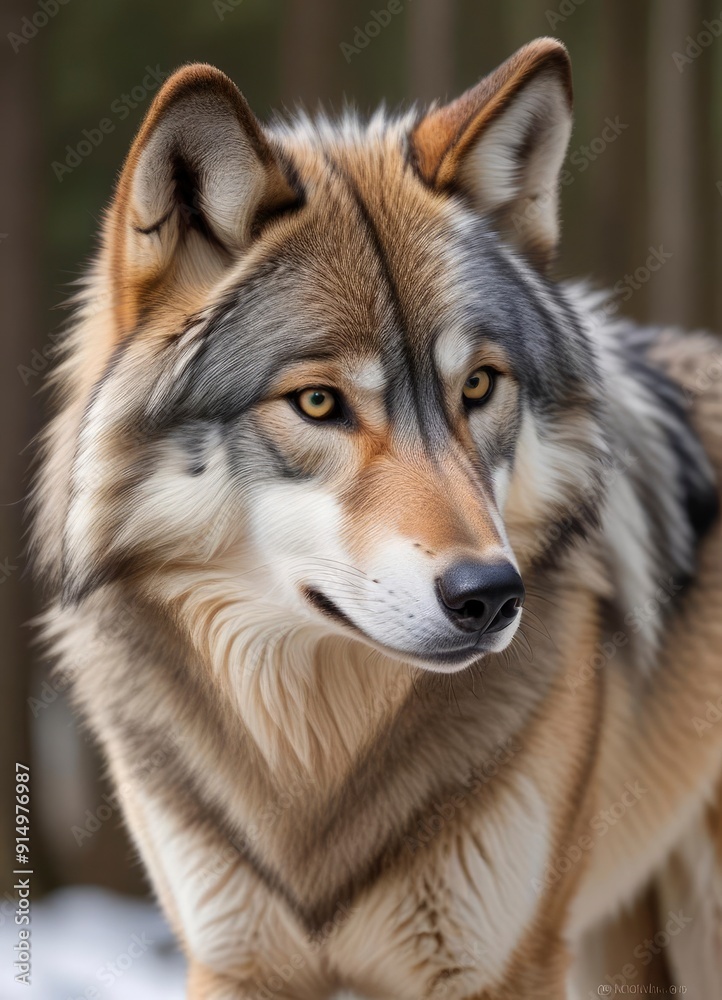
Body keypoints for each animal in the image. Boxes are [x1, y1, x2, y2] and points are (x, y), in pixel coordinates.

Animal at [32, 37, 722, 1000]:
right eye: (319, 402)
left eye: (479, 386)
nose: (490, 595)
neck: (317, 770)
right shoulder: (233, 963)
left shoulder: (501, 965)